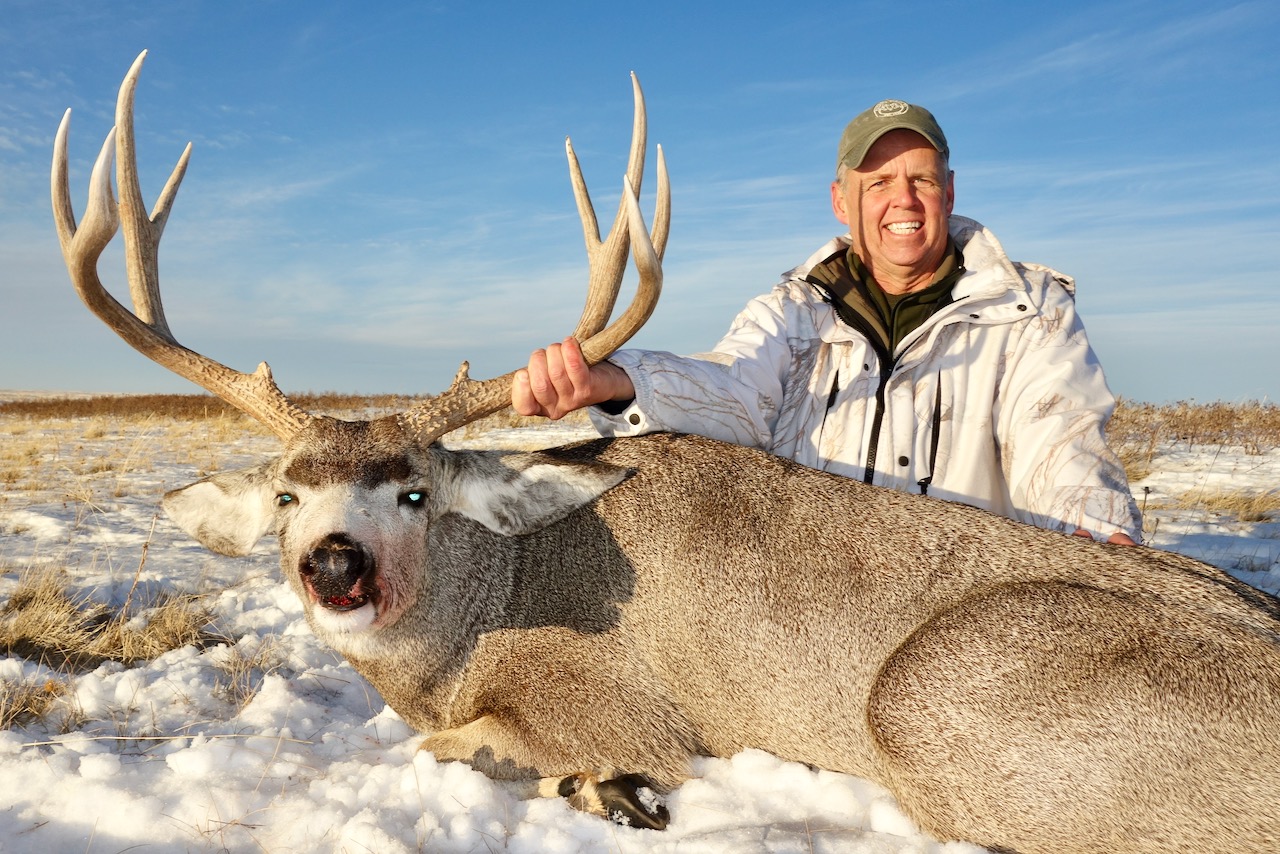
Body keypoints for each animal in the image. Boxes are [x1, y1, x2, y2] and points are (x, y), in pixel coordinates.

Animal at [55, 50, 1280, 850]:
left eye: (412, 492)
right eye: (283, 495)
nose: (334, 566)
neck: (482, 617)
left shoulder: (613, 698)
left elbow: (457, 748)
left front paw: (617, 788)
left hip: (931, 698)